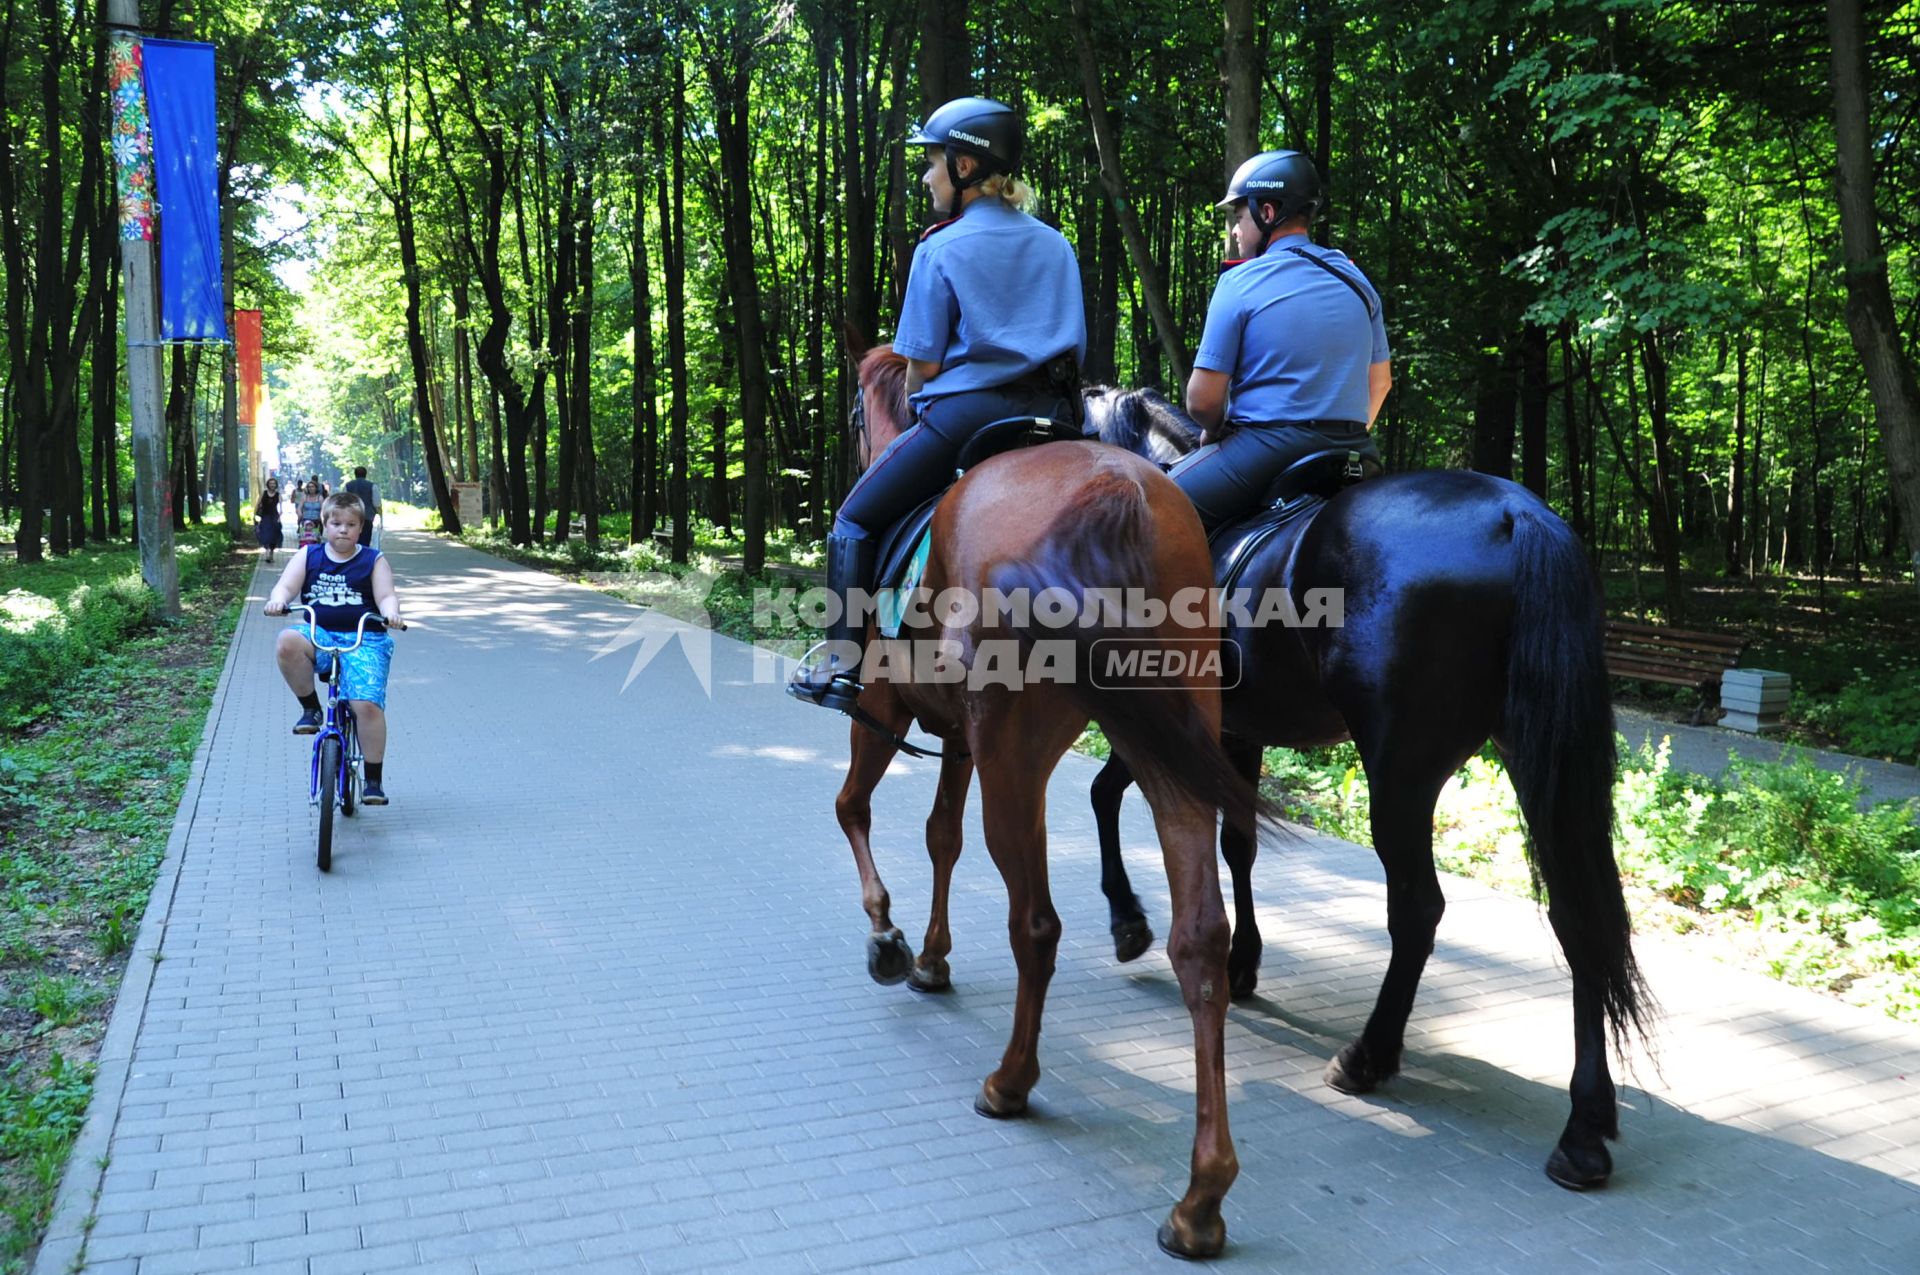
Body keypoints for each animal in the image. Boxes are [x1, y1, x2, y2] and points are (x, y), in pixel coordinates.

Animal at [821, 341, 1259, 1251]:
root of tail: (1121, 491)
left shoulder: (883, 706)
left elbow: (855, 810)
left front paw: (889, 939)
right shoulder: (958, 734)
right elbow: (939, 836)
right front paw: (933, 957)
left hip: (1015, 750)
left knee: (1037, 923)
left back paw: (1010, 1081)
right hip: (1168, 741)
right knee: (1199, 939)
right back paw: (1200, 1198)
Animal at [1090, 418, 1643, 1198]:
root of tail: (1517, 515)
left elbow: (1107, 795)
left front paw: (1131, 922)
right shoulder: (1238, 732)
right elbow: (1238, 846)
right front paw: (1241, 960)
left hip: (1401, 771)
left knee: (1417, 909)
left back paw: (1370, 1056)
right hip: (1537, 756)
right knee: (1577, 913)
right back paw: (1585, 1127)